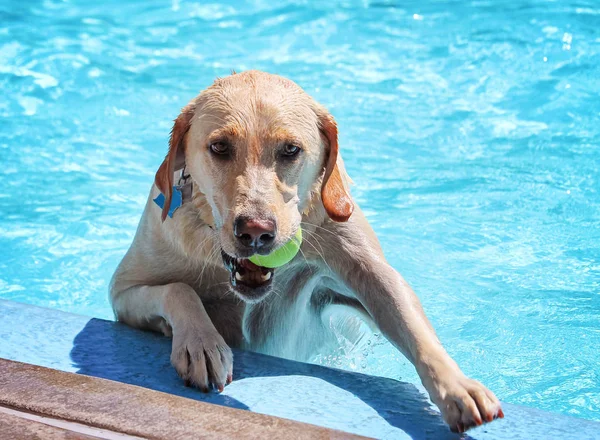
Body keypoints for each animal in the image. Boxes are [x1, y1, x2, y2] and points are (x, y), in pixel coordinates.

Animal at [111, 70, 502, 432]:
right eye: (220, 147)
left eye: (290, 150)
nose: (255, 232)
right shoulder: (122, 293)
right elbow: (179, 289)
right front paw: (202, 343)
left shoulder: (367, 270)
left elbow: (411, 324)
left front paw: (457, 387)